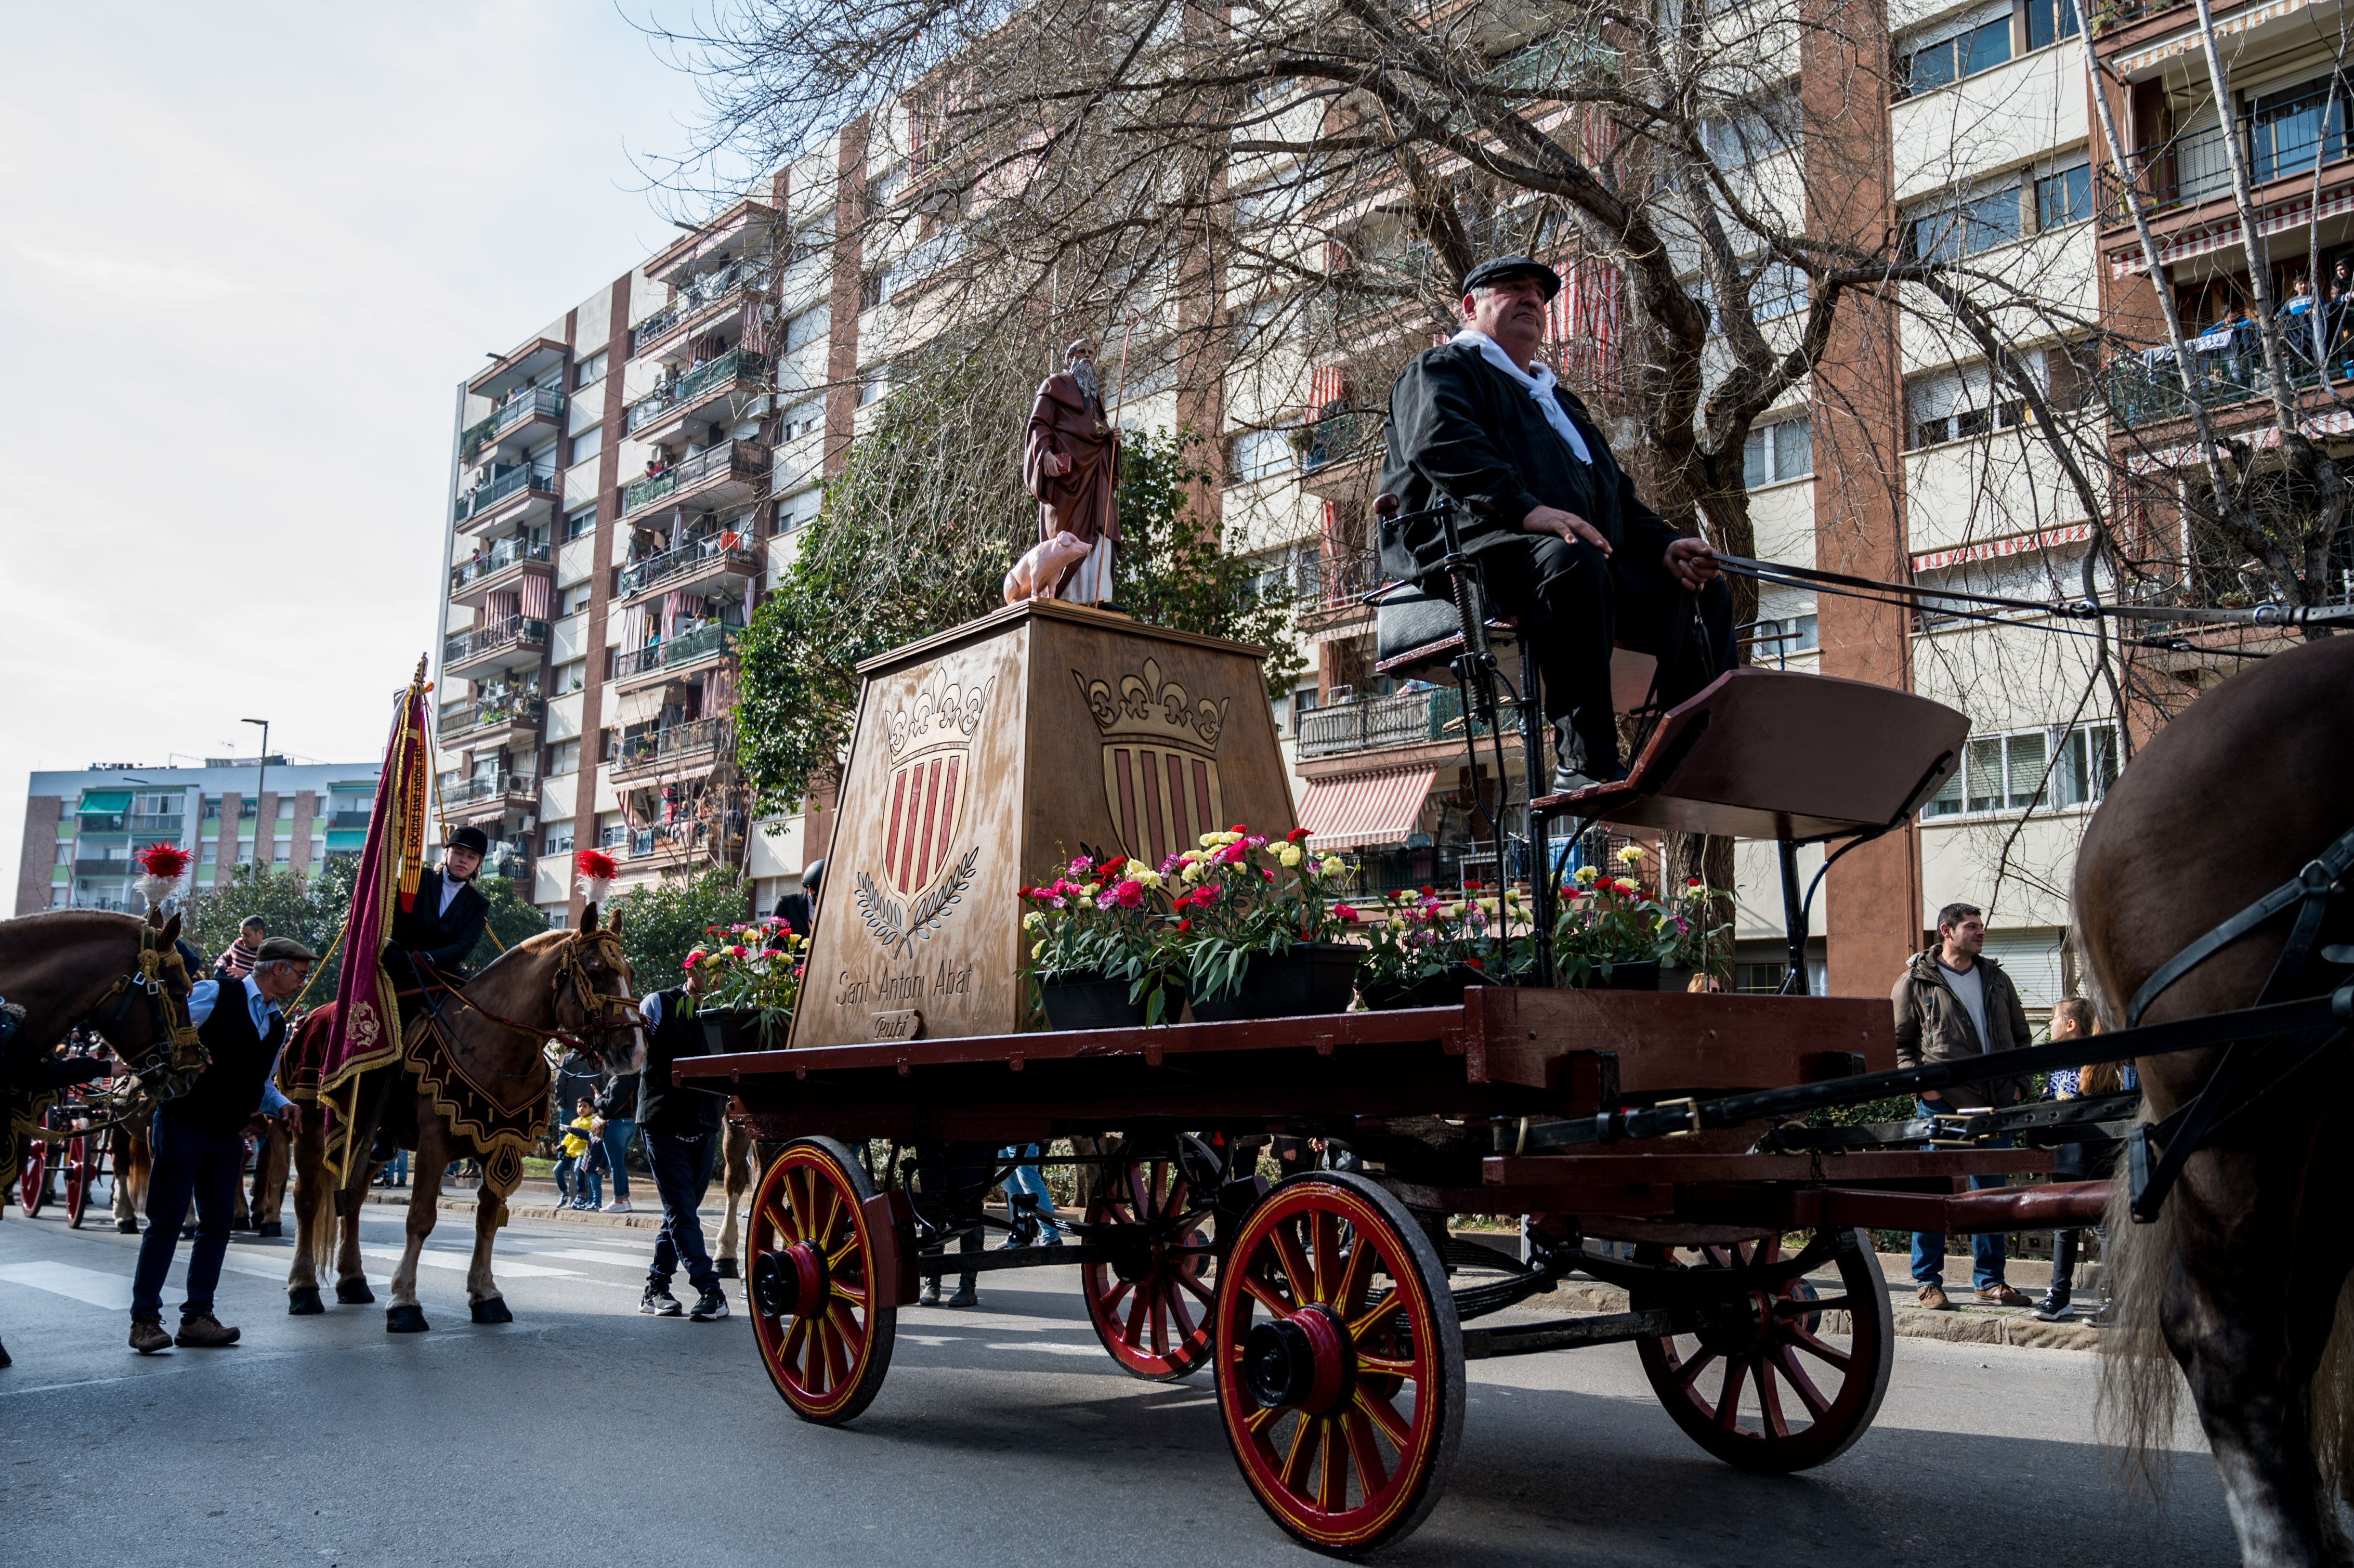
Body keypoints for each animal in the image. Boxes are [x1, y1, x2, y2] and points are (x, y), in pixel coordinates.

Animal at [284, 904, 645, 1328]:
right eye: (595, 970)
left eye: (629, 973)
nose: (634, 1052)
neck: (492, 1043)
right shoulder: (435, 1142)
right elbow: (421, 1217)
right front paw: (404, 1302)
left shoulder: (503, 1143)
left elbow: (488, 1217)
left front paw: (486, 1295)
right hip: (310, 1126)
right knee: (308, 1199)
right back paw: (303, 1288)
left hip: (366, 1140)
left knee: (353, 1200)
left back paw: (353, 1281)